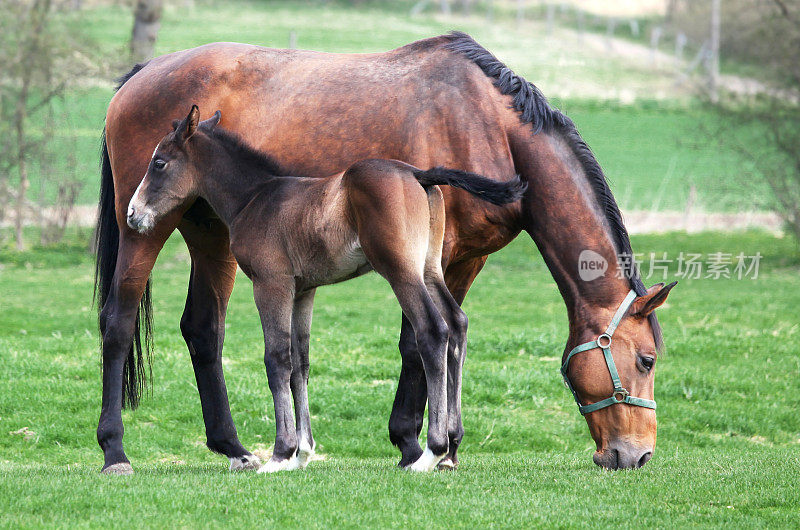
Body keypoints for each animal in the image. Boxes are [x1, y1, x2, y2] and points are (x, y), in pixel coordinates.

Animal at [126, 104, 524, 470]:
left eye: (159, 163)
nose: (132, 213)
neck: (254, 198)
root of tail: (417, 173)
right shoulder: (304, 290)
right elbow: (300, 362)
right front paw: (302, 453)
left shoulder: (271, 284)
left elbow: (277, 358)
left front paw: (280, 454)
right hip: (429, 269)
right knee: (457, 324)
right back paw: (452, 444)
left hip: (400, 270)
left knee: (433, 330)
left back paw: (430, 452)